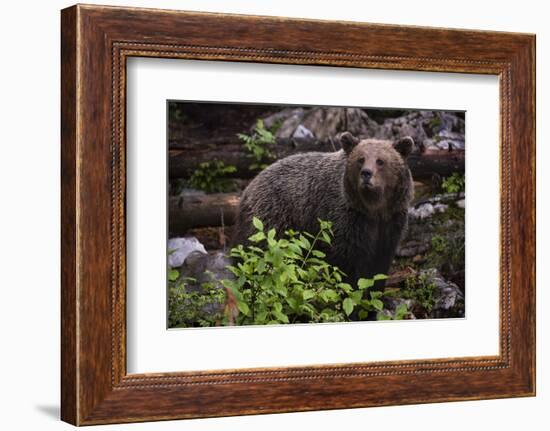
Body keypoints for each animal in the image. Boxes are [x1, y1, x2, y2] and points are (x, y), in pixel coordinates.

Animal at [233, 132, 414, 286]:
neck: (373, 208)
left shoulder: (391, 222)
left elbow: (379, 266)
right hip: (272, 218)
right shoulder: (347, 220)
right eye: (361, 159)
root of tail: (249, 187)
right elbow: (346, 265)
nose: (366, 173)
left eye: (380, 161)